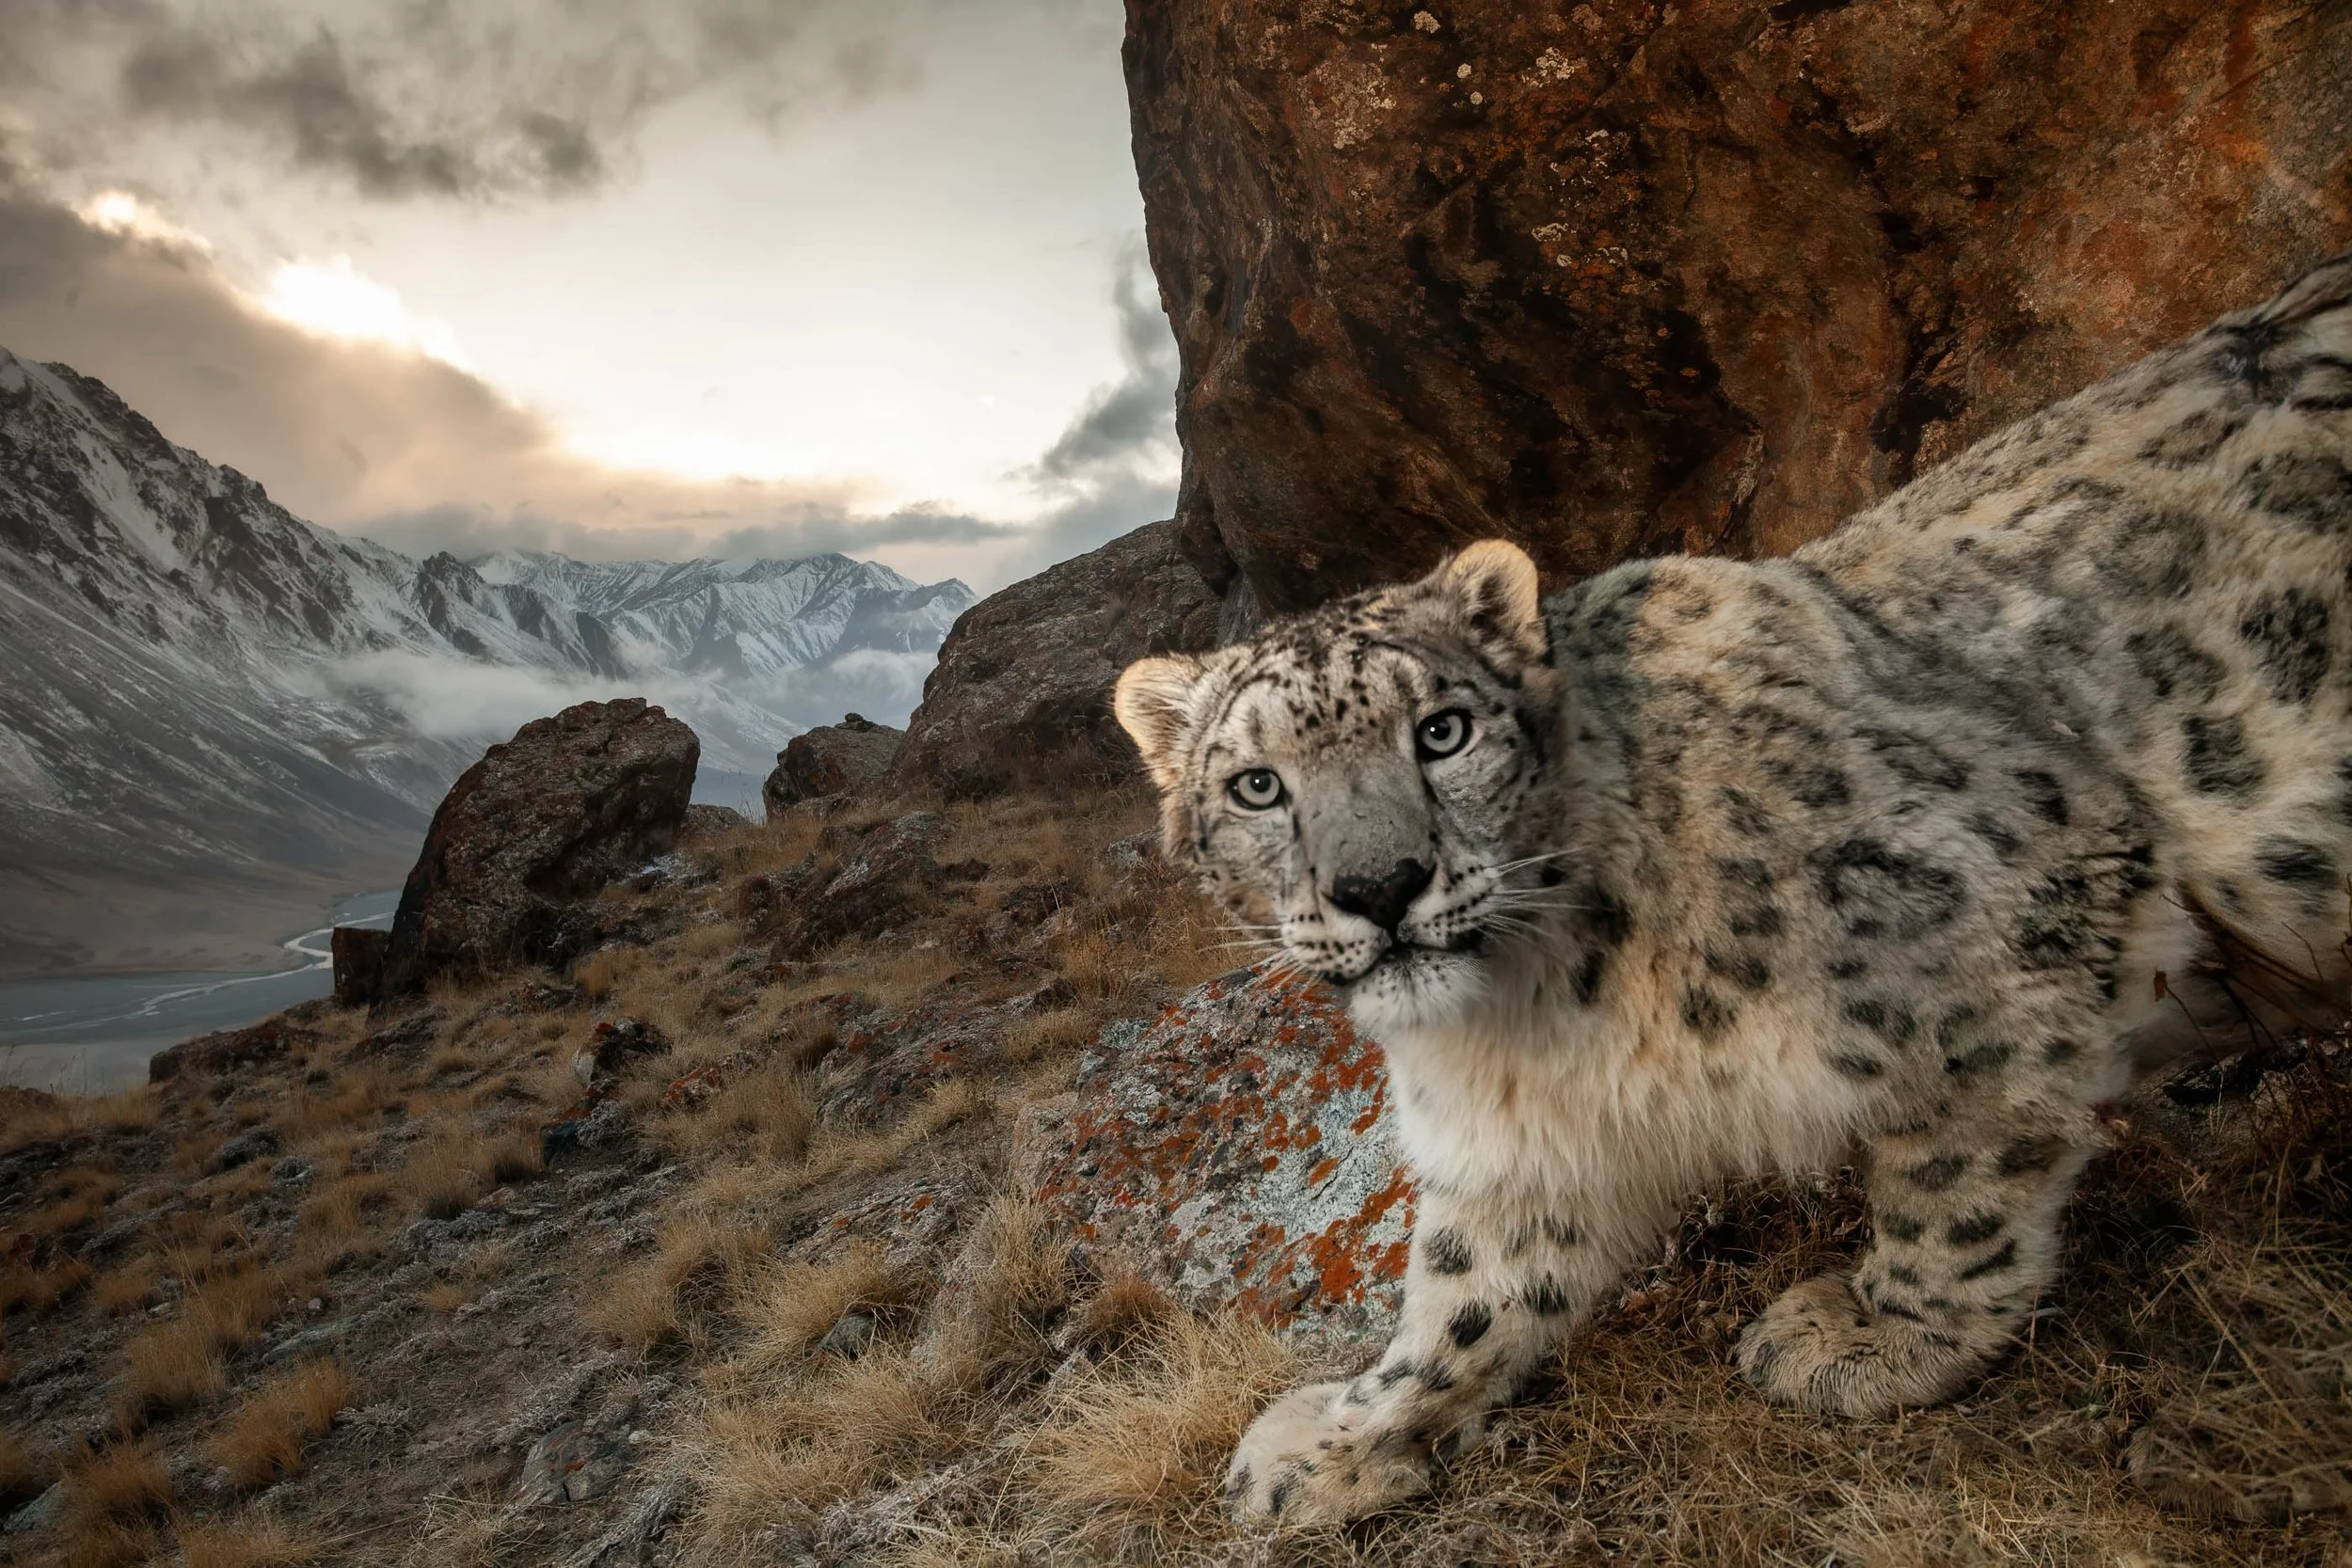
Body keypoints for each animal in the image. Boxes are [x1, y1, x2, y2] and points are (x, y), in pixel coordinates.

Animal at [1113, 253, 2352, 1527]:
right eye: (1257, 785)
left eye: (1442, 730)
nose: (1380, 883)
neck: (1539, 1007)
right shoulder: (1523, 1138)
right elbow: (1469, 1285)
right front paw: (1335, 1442)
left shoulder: (2014, 904)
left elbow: (1956, 1167)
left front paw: (1879, 1336)